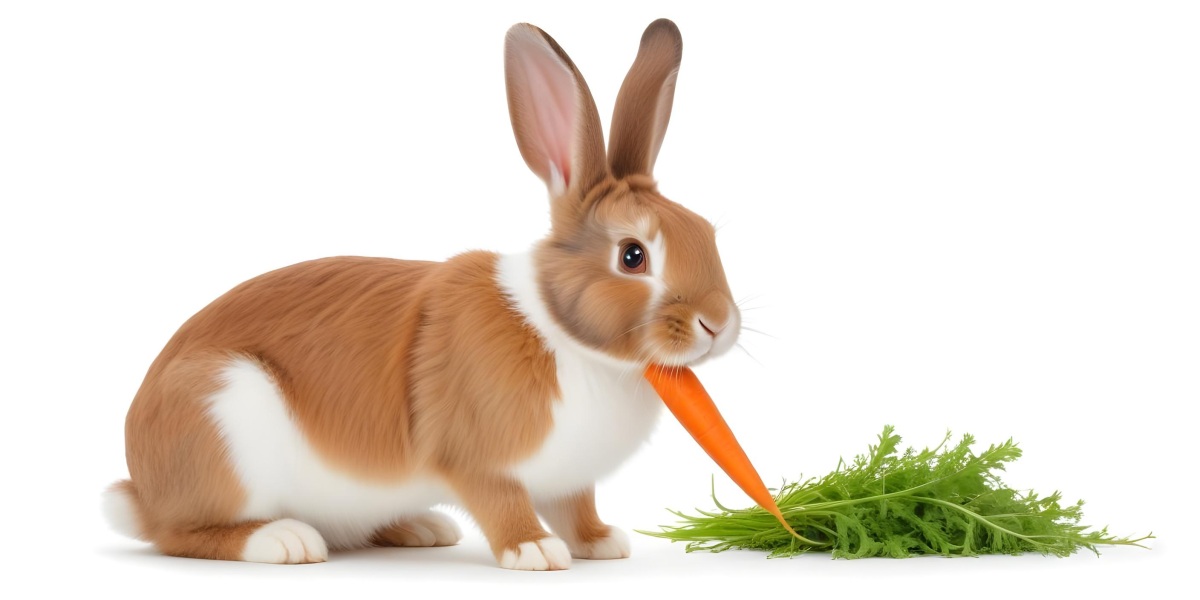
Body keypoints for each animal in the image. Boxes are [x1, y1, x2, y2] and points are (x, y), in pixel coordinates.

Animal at [102, 18, 740, 571]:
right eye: (633, 256)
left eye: (706, 232)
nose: (718, 323)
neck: (563, 335)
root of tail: (142, 488)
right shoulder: (478, 459)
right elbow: (504, 505)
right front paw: (534, 552)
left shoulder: (571, 480)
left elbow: (576, 508)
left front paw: (602, 543)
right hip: (219, 418)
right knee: (183, 534)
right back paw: (283, 541)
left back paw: (420, 528)